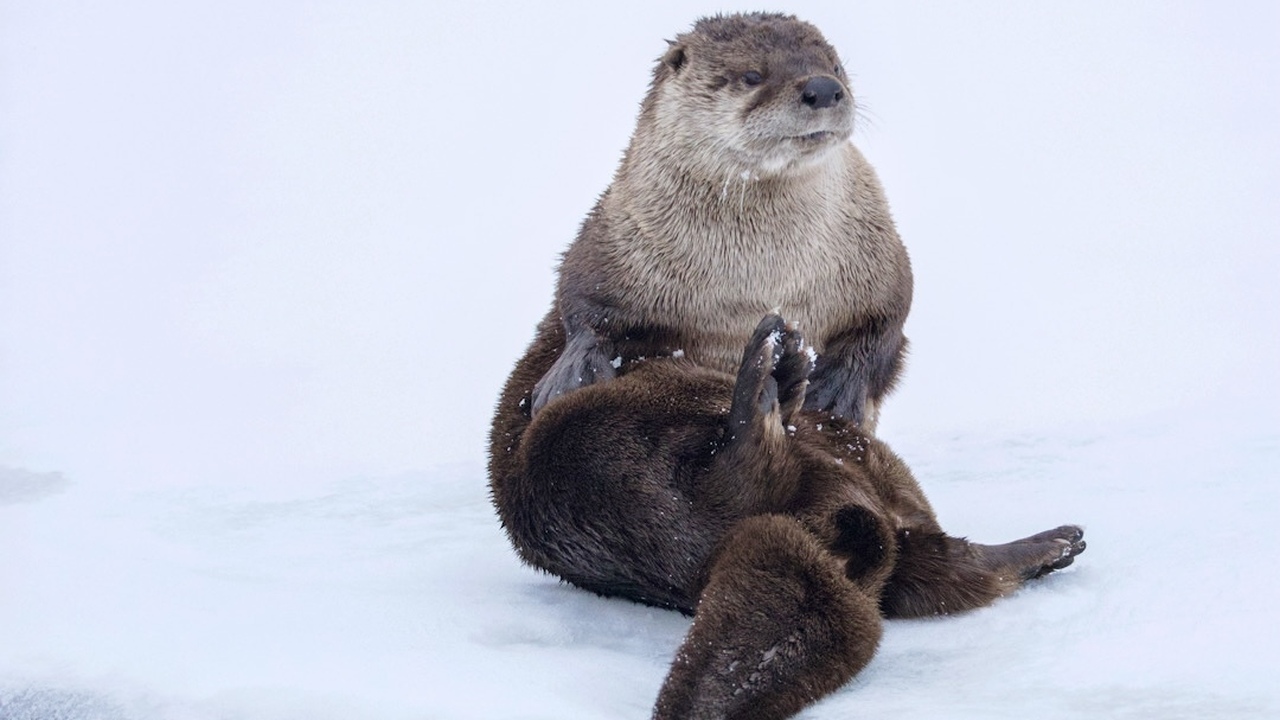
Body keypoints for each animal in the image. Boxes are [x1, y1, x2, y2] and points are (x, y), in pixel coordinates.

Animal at [530, 12, 911, 431]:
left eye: (836, 67)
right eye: (752, 75)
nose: (824, 88)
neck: (758, 277)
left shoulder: (876, 253)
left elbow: (887, 317)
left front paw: (836, 391)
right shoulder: (612, 238)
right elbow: (580, 302)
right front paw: (573, 374)